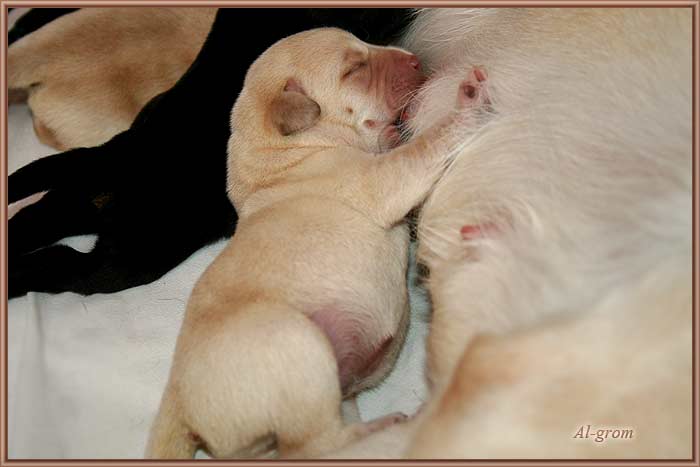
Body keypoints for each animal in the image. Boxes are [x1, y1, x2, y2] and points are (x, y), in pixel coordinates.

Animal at [144, 27, 476, 458]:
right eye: (354, 69)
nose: (416, 59)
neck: (290, 154)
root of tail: (178, 400)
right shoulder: (383, 179)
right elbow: (426, 146)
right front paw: (469, 95)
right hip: (297, 343)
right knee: (314, 446)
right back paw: (390, 425)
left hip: (320, 396)